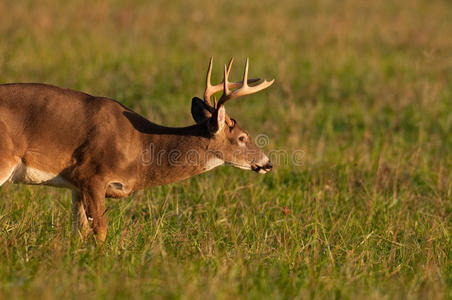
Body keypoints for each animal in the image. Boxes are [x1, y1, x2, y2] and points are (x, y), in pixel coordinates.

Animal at [0, 58, 274, 241]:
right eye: (242, 137)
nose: (267, 163)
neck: (142, 152)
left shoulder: (77, 186)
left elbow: (80, 231)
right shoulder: (91, 175)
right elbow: (100, 231)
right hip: (4, 158)